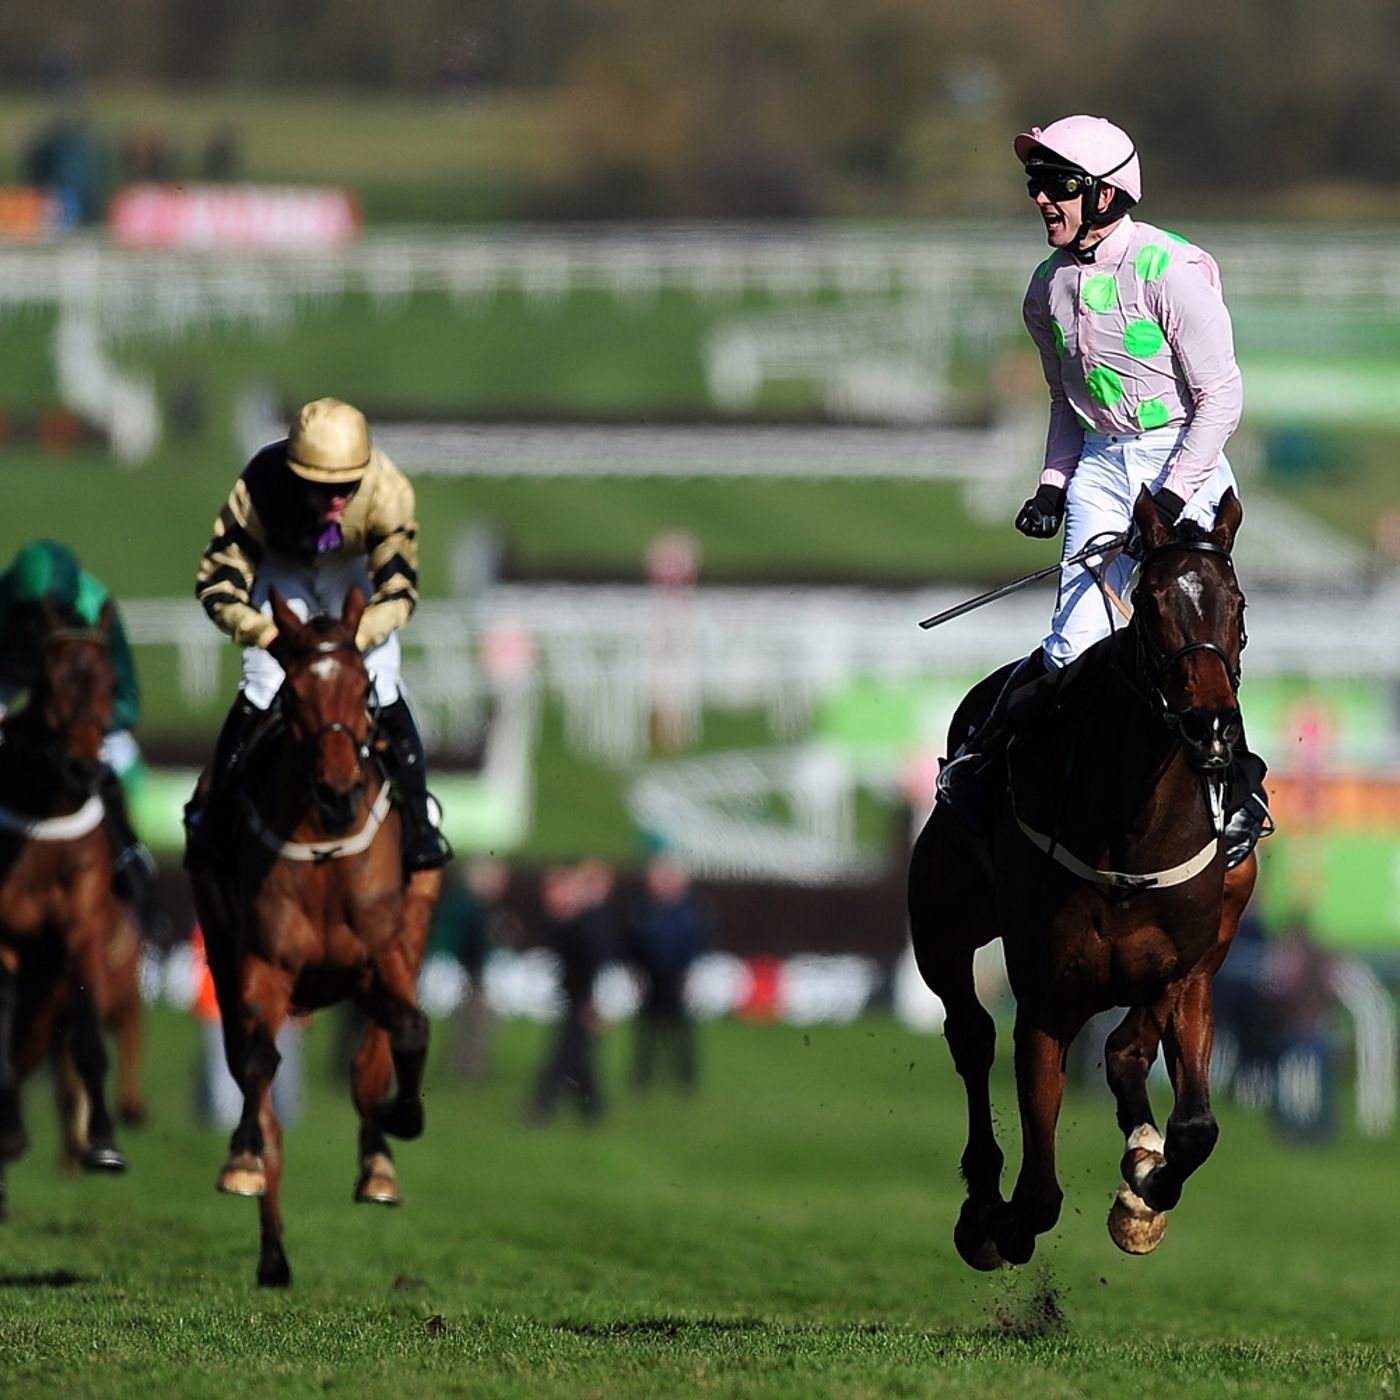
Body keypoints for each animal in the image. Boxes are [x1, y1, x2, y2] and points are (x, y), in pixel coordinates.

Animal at [188, 586, 441, 1287]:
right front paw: (245, 1163)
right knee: (255, 1077)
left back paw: (378, 1164)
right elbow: (257, 1070)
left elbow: (403, 1038)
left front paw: (396, 1124)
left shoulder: (379, 960)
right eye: (295, 693)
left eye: (363, 690)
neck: (325, 846)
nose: (337, 790)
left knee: (370, 1061)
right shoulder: (262, 962)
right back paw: (272, 1249)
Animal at [908, 488, 1259, 1269]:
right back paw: (982, 1199)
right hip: (940, 921)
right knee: (970, 1034)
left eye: (1237, 605)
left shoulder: (1183, 971)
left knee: (1126, 1053)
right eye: (1152, 604)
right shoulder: (1046, 995)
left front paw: (1144, 1194)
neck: (1133, 832)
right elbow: (1039, 1193)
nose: (1212, 727)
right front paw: (1001, 1221)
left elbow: (1195, 1126)